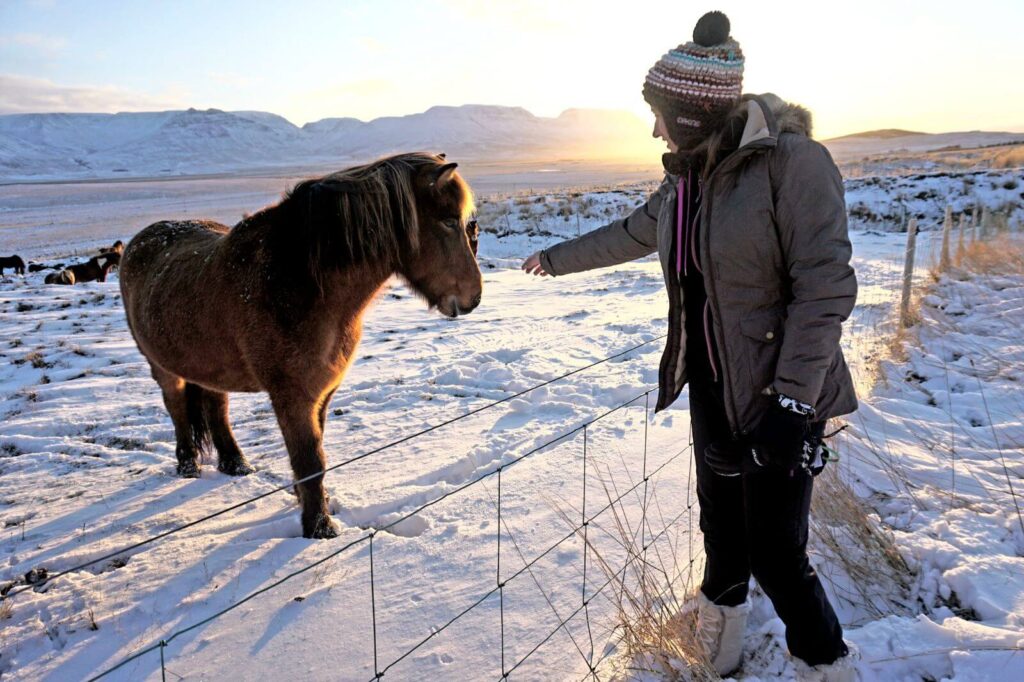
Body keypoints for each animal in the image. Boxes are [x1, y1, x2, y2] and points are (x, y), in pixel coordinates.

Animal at [120, 152, 483, 539]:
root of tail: (139, 241)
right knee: (176, 406)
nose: (473, 297)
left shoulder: (321, 391)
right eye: (448, 221)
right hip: (163, 368)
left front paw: (310, 503)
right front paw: (319, 527)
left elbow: (314, 453)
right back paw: (188, 463)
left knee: (217, 407)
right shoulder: (293, 396)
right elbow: (310, 459)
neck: (300, 281)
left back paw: (235, 463)